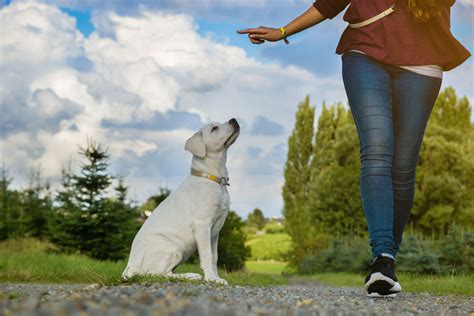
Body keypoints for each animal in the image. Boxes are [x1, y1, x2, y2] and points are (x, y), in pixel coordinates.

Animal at [122, 118, 241, 284]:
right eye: (214, 128)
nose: (234, 119)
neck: (213, 179)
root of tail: (130, 268)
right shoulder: (203, 224)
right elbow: (207, 256)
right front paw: (211, 279)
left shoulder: (215, 231)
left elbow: (214, 257)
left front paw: (217, 278)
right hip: (171, 247)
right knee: (157, 273)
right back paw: (191, 276)